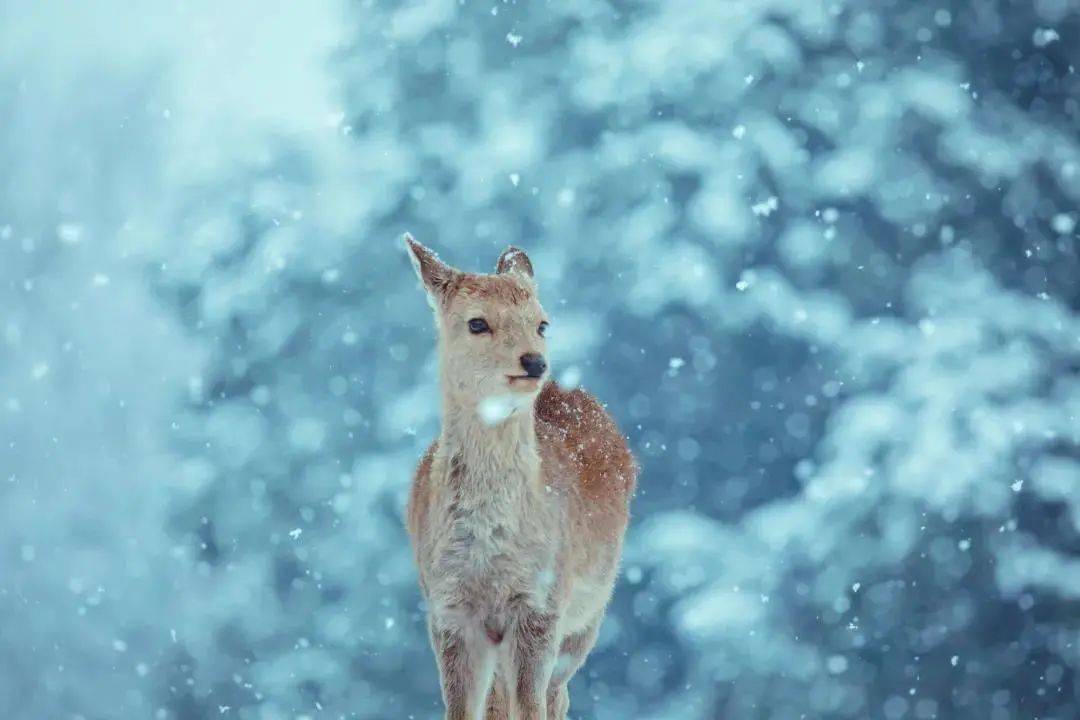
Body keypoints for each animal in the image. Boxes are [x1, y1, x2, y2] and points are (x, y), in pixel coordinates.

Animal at [403, 234, 635, 716]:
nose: (534, 362)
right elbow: (462, 709)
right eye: (477, 323)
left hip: (589, 614)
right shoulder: (448, 608)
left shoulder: (541, 602)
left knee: (555, 694)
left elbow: (531, 705)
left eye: (542, 323)